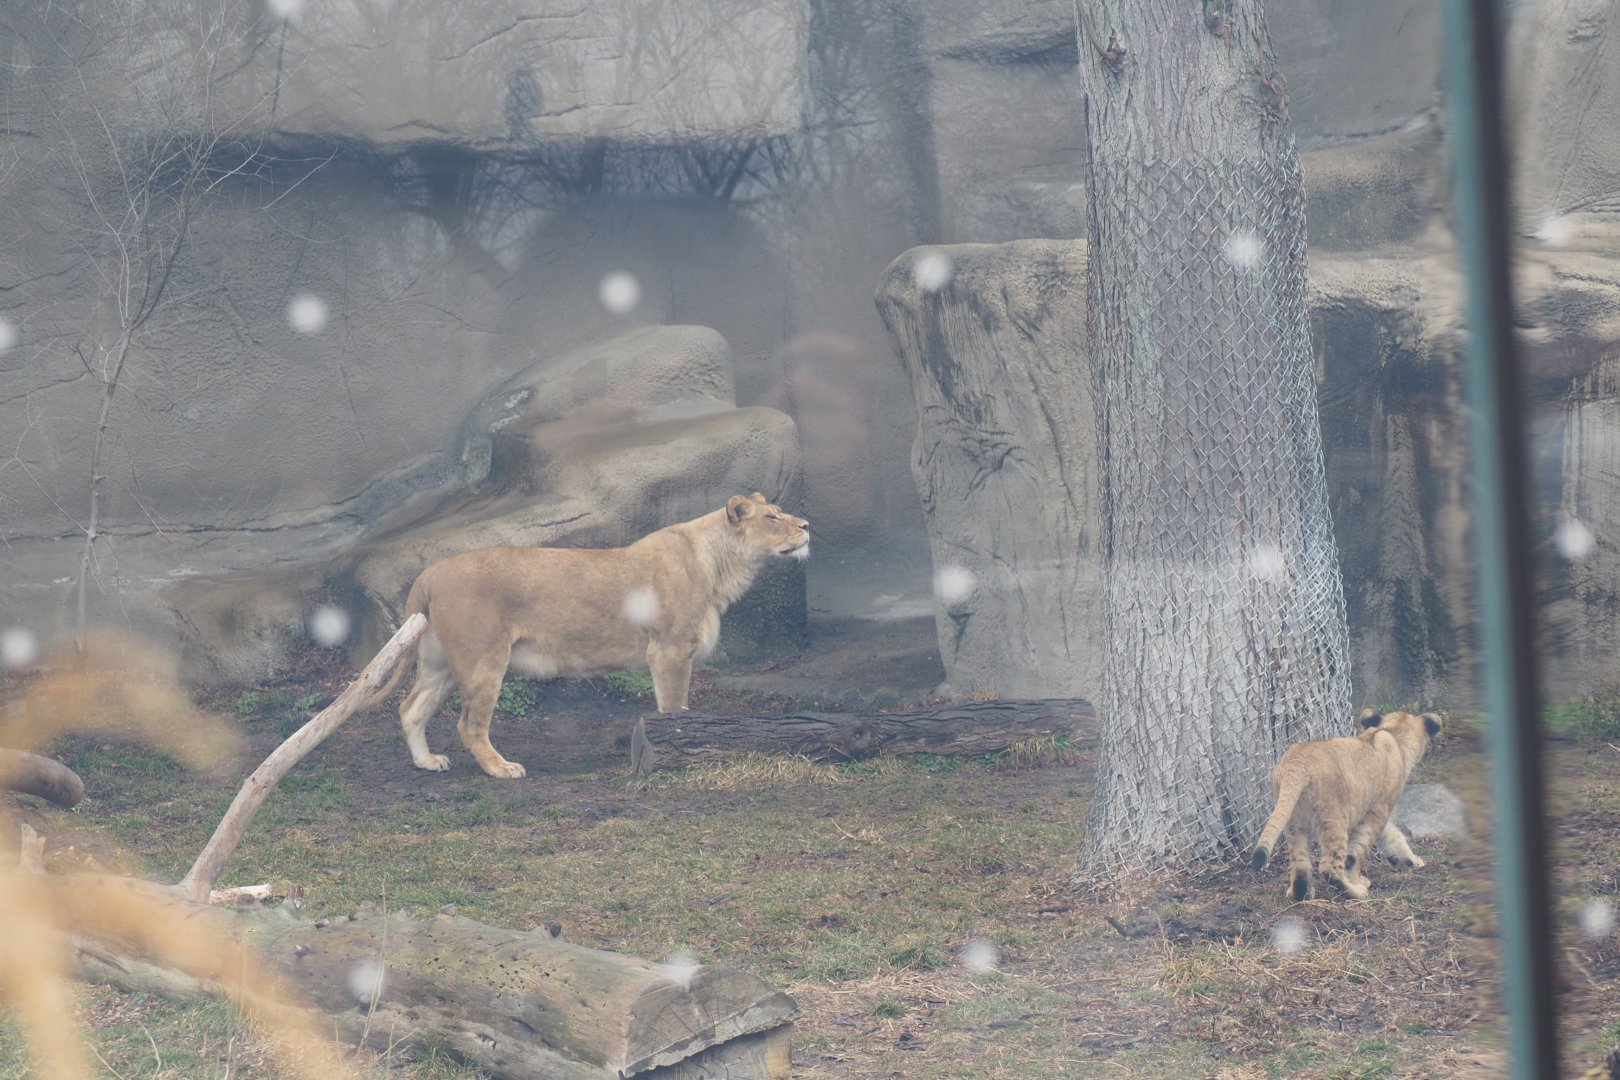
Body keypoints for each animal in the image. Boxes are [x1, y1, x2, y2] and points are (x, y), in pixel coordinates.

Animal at [356, 493, 809, 778]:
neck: (718, 565)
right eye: (771, 517)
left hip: (442, 662)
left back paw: (427, 762)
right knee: (469, 725)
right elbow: (673, 707)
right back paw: (501, 768)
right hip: (483, 660)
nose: (806, 525)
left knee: (411, 708)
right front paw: (676, 748)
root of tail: (430, 573)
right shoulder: (669, 651)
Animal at [1250, 709, 1441, 900]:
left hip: (1293, 819)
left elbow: (1392, 836)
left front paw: (1410, 860)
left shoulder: (1373, 809)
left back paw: (1300, 893)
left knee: (1300, 863)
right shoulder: (1379, 810)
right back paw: (1355, 892)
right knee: (1329, 867)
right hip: (1334, 816)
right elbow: (1358, 852)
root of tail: (1296, 764)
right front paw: (1358, 880)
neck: (1392, 733)